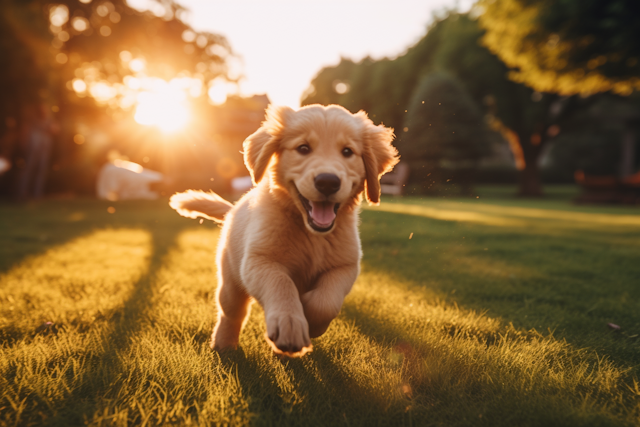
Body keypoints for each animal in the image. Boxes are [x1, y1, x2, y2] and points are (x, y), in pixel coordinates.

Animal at [168, 104, 398, 358]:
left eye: (347, 152)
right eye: (303, 148)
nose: (328, 182)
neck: (311, 233)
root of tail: (232, 211)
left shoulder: (345, 266)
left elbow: (326, 302)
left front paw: (311, 320)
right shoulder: (259, 260)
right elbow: (282, 283)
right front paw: (290, 325)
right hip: (230, 278)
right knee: (232, 312)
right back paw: (224, 345)